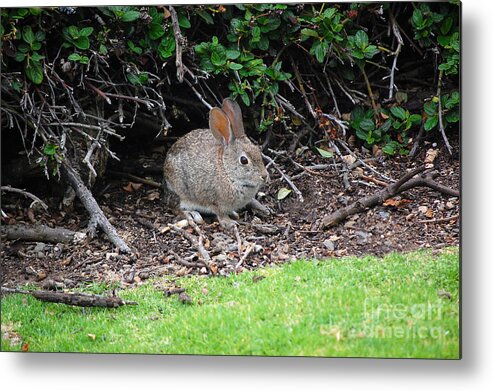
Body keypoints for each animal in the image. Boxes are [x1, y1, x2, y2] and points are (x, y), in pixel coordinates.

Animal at [162, 97, 270, 230]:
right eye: (244, 160)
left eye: (258, 151)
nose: (264, 176)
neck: (227, 171)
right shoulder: (215, 201)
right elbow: (220, 213)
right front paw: (229, 223)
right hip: (180, 191)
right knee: (175, 206)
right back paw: (192, 215)